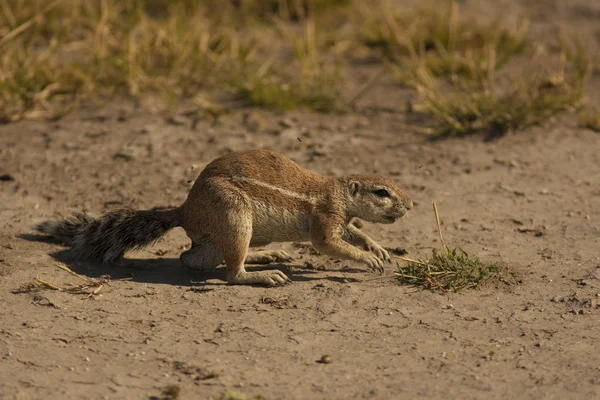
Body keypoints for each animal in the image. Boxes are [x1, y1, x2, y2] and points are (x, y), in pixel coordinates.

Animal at [34, 149, 412, 284]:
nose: (410, 205)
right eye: (382, 192)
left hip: (224, 236)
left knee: (192, 260)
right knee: (231, 274)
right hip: (234, 214)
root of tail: (184, 210)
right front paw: (367, 258)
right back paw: (265, 275)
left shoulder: (342, 220)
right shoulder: (325, 219)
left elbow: (355, 233)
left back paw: (267, 256)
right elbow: (330, 244)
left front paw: (377, 248)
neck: (337, 192)